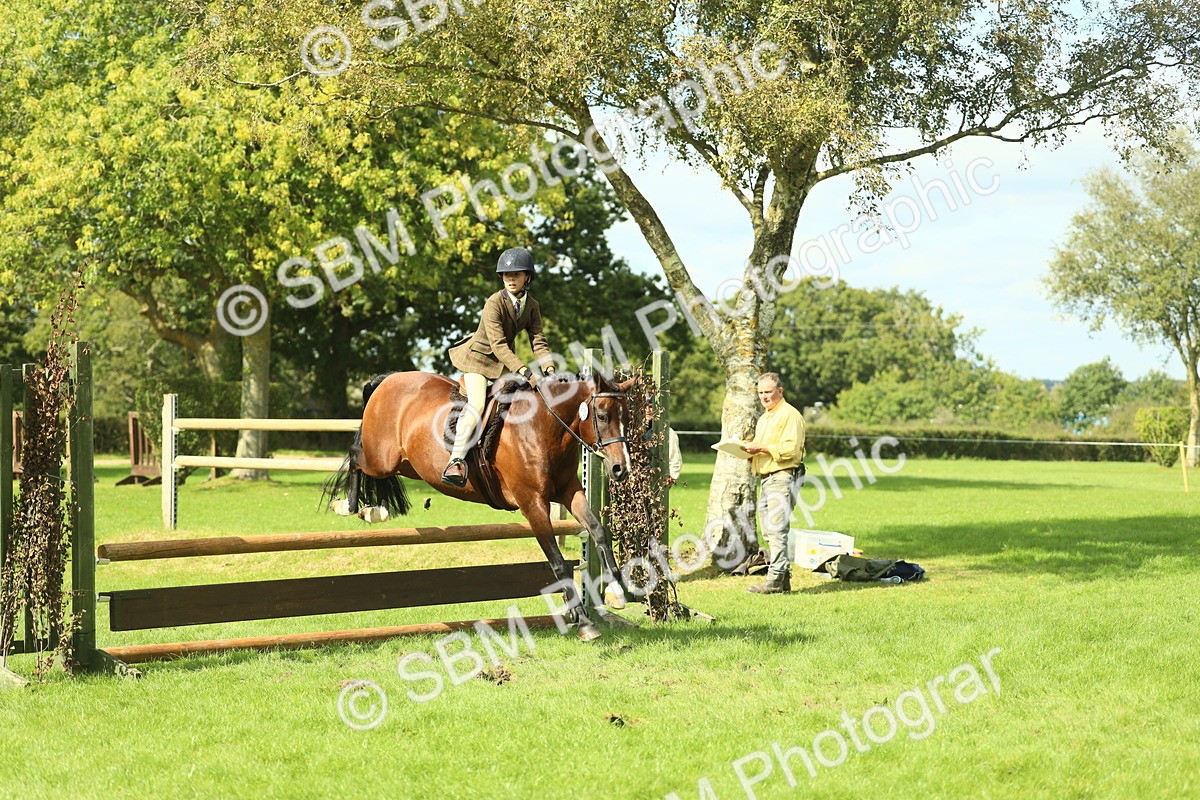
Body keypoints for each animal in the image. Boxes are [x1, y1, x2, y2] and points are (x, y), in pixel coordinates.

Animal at [323, 370, 634, 640]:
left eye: (628, 418)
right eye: (602, 416)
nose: (620, 469)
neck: (543, 426)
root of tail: (387, 379)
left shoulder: (569, 491)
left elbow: (597, 530)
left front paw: (617, 591)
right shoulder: (532, 503)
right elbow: (557, 562)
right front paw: (583, 622)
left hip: (405, 464)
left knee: (379, 472)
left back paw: (376, 510)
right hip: (381, 457)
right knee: (355, 455)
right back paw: (348, 506)